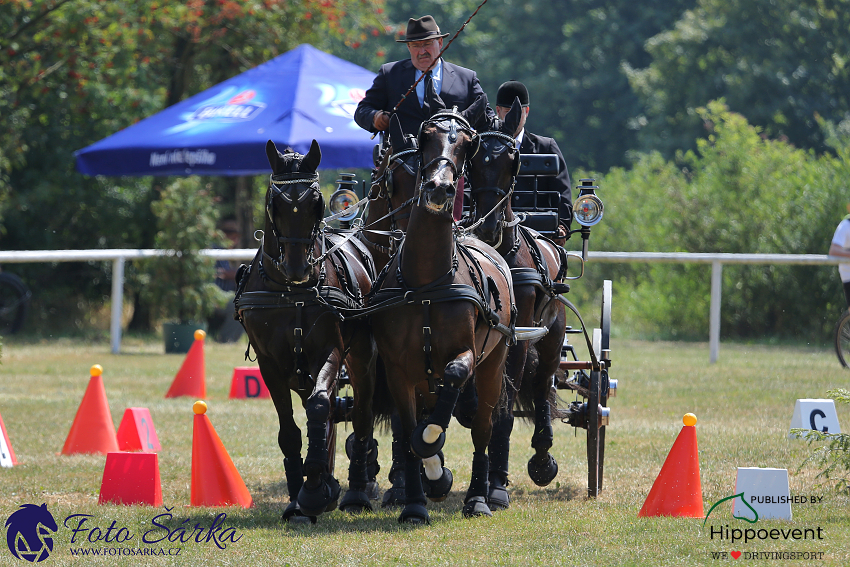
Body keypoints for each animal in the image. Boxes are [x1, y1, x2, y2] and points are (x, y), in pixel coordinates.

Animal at [234, 141, 390, 524]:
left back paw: (356, 491)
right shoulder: (270, 364)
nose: (298, 268)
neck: (291, 293)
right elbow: (290, 432)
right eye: (275, 203)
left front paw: (317, 489)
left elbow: (321, 406)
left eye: (316, 202)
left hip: (362, 358)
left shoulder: (329, 350)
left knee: (360, 415)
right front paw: (297, 500)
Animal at [370, 101, 512, 524]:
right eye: (426, 137)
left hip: (494, 364)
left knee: (483, 427)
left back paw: (479, 496)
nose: (439, 187)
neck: (426, 283)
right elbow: (409, 431)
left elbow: (450, 383)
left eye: (467, 144)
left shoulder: (466, 353)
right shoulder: (397, 370)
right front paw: (417, 500)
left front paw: (436, 460)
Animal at [464, 100, 568, 512]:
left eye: (513, 160)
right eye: (472, 159)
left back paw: (542, 457)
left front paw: (496, 487)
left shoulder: (518, 338)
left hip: (552, 336)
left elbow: (504, 412)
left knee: (542, 386)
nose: (488, 228)